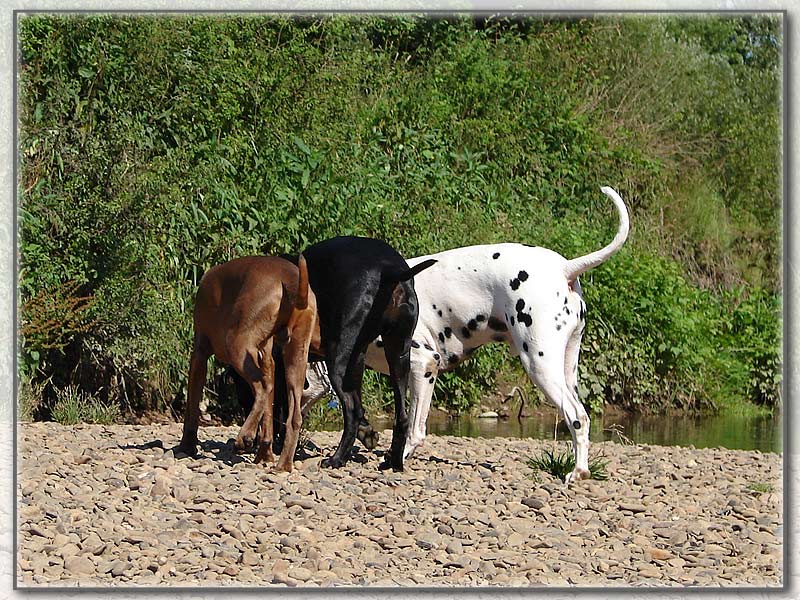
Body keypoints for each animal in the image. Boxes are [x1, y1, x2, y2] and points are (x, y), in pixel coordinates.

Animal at [177, 252, 318, 468]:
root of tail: (289, 278)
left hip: (236, 343)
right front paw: (265, 454)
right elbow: (269, 412)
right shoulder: (267, 357)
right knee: (293, 415)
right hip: (296, 356)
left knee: (263, 388)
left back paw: (245, 437)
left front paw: (186, 446)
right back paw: (283, 465)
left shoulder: (199, 353)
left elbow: (191, 407)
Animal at [236, 237, 438, 472]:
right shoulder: (357, 360)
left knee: (352, 410)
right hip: (397, 356)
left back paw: (336, 459)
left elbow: (283, 410)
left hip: (339, 361)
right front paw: (367, 432)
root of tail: (389, 269)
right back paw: (394, 462)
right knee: (401, 417)